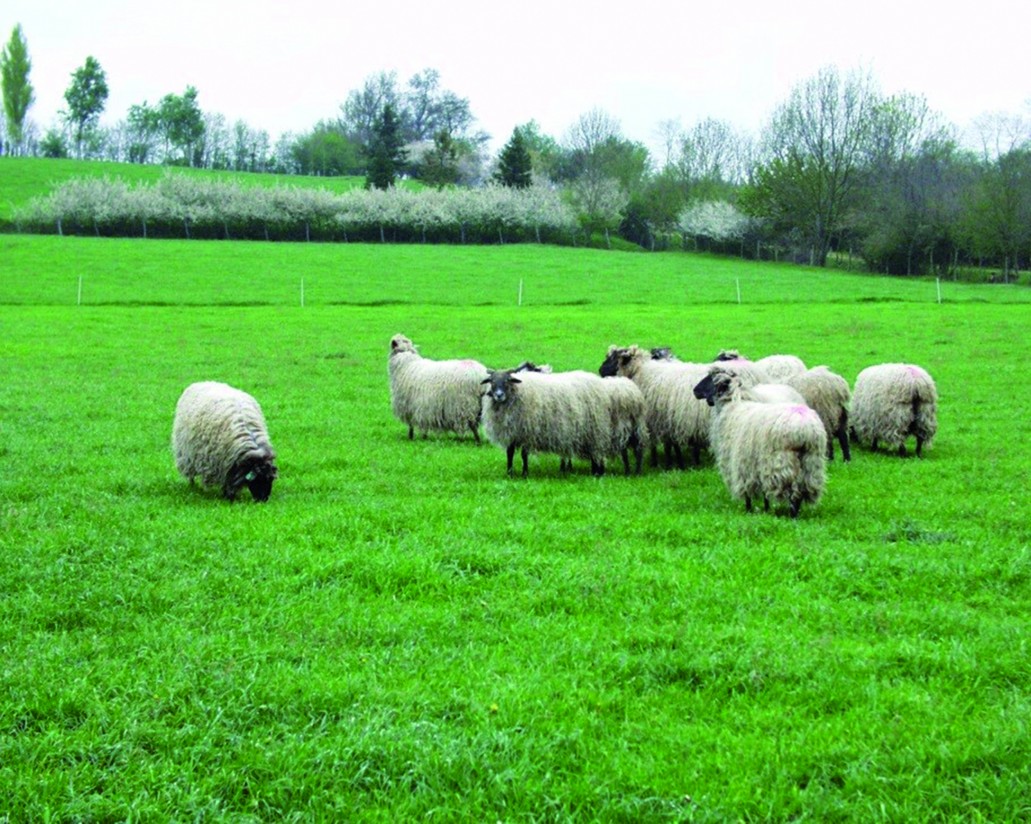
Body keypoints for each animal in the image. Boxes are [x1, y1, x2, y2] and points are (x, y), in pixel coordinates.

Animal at [476, 369, 606, 476]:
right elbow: (510, 453)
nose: (499, 395)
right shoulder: (512, 432)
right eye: (492, 382)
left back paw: (597, 471)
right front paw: (510, 473)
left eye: (507, 381)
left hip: (594, 430)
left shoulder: (527, 432)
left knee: (597, 452)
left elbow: (524, 454)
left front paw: (525, 473)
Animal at [692, 365, 828, 519]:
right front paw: (766, 509)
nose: (695, 391)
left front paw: (749, 510)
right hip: (811, 462)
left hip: (781, 462)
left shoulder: (745, 464)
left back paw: (792, 515)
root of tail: (805, 429)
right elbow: (764, 493)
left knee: (793, 493)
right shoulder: (757, 464)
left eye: (711, 379)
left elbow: (749, 493)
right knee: (802, 489)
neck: (733, 405)